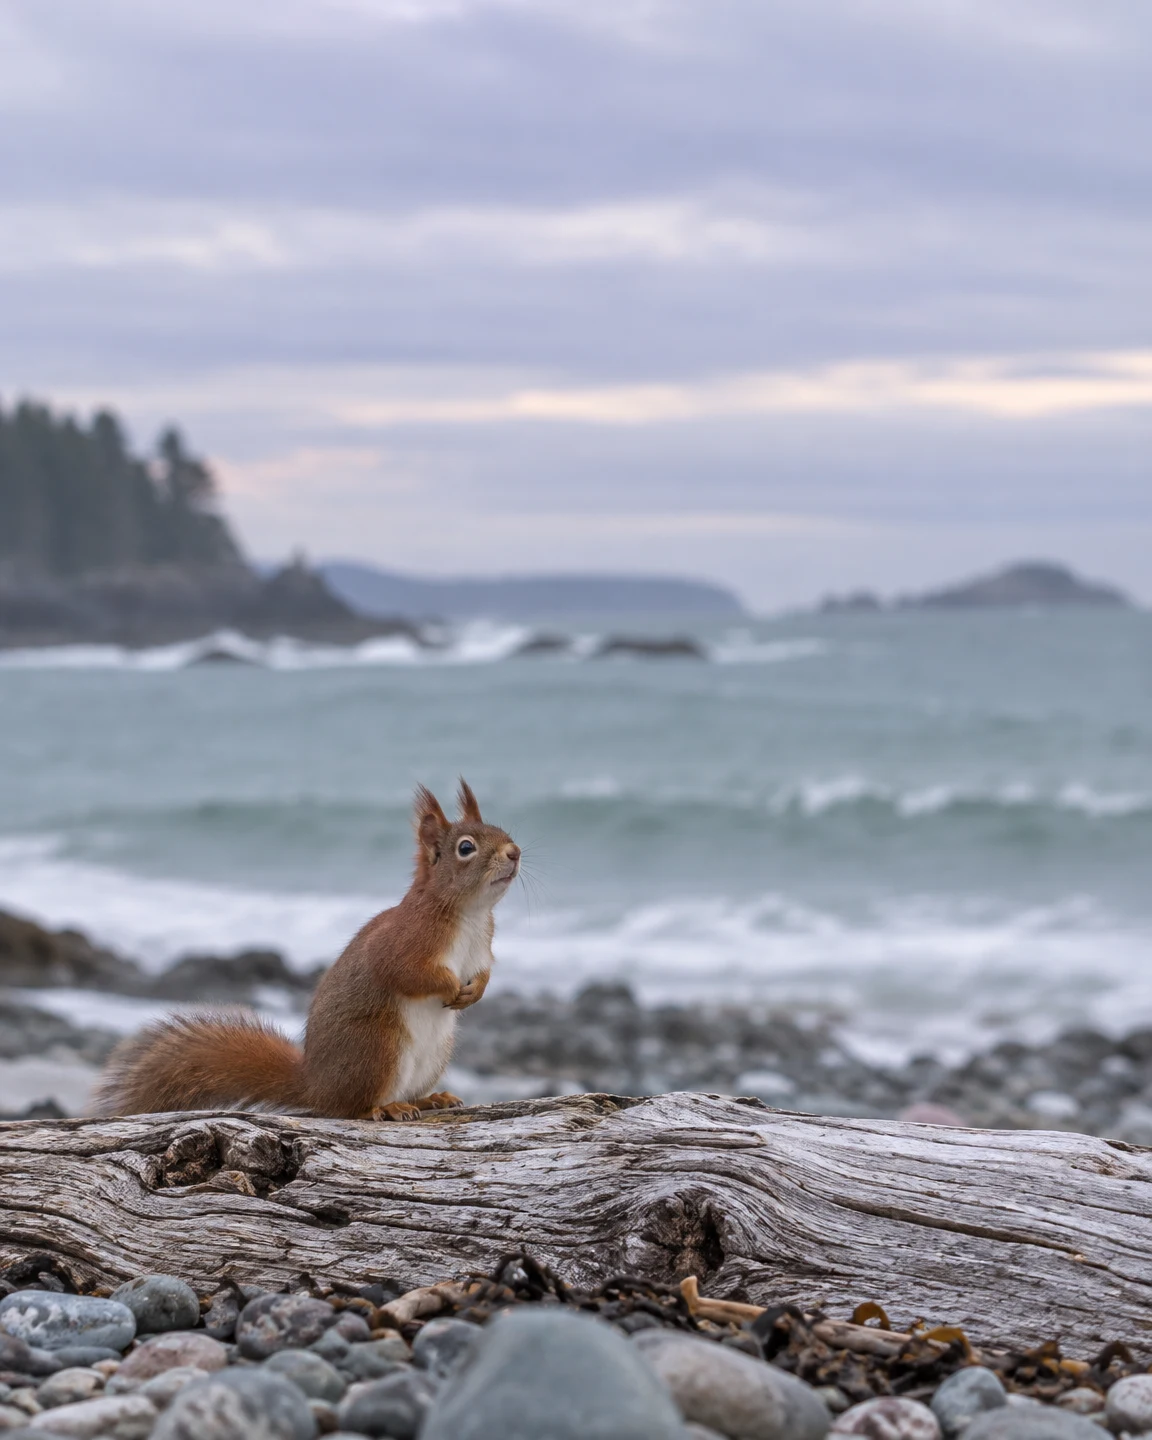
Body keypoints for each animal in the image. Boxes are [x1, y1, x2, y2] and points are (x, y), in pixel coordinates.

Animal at [92, 780, 520, 1121]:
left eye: (501, 830)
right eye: (466, 848)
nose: (515, 852)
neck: (468, 914)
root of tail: (316, 1086)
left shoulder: (481, 948)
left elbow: (484, 973)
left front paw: (475, 991)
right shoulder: (403, 942)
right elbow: (408, 973)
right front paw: (449, 987)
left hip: (433, 1054)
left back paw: (431, 1099)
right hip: (378, 1047)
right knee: (353, 1107)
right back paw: (386, 1107)